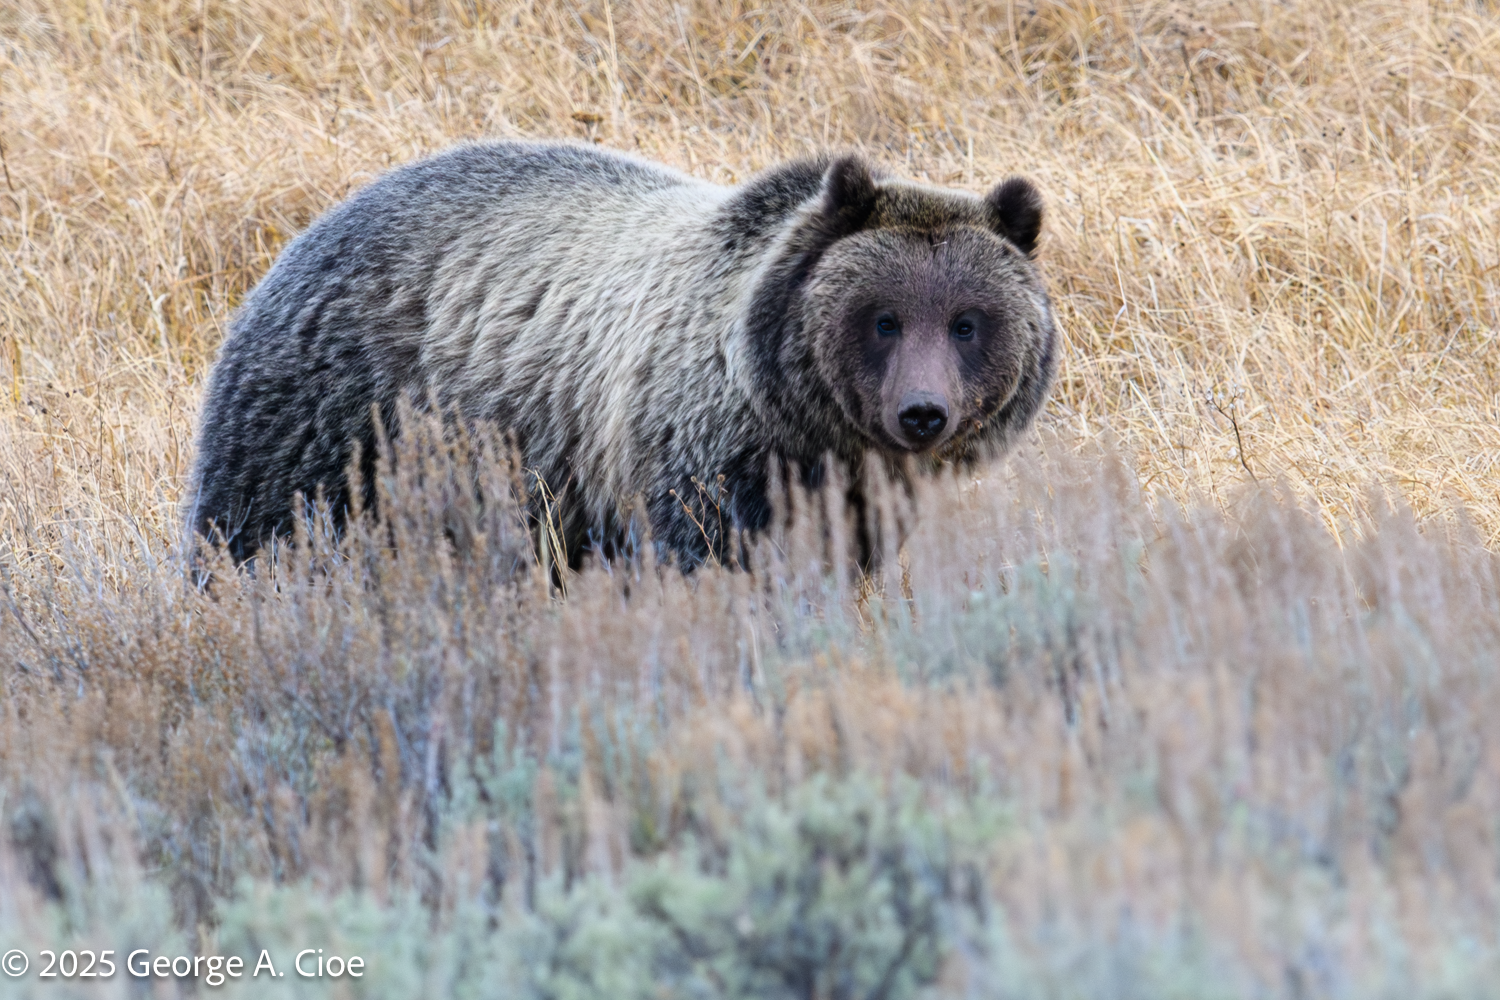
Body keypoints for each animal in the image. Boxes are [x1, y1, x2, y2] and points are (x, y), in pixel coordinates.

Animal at [185, 140, 1056, 568]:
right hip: (339, 420)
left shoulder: (859, 488)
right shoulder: (692, 452)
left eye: (968, 322)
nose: (923, 414)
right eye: (883, 319)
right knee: (260, 529)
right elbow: (711, 555)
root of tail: (310, 230)